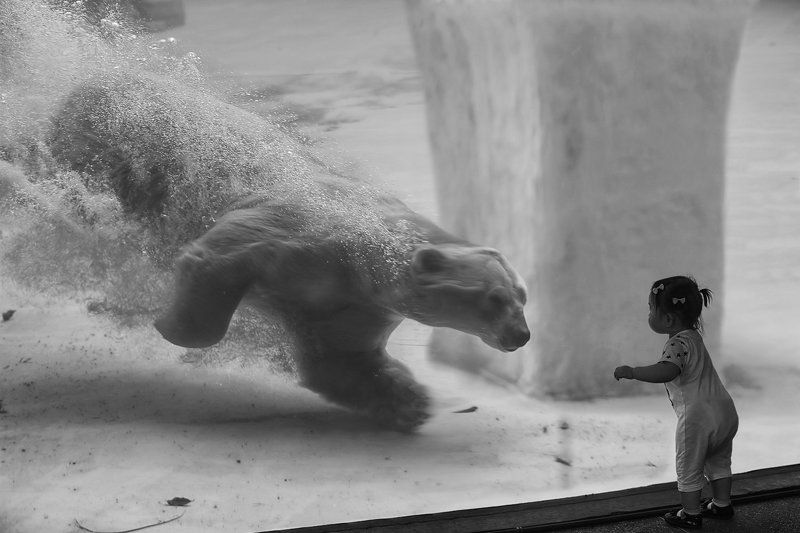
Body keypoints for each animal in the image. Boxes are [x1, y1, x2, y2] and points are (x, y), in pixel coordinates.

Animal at [47, 72, 531, 431]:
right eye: (494, 299)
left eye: (523, 296)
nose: (521, 335)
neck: (366, 252)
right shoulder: (304, 231)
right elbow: (221, 254)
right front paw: (174, 327)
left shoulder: (352, 305)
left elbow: (340, 359)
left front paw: (408, 401)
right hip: (116, 140)